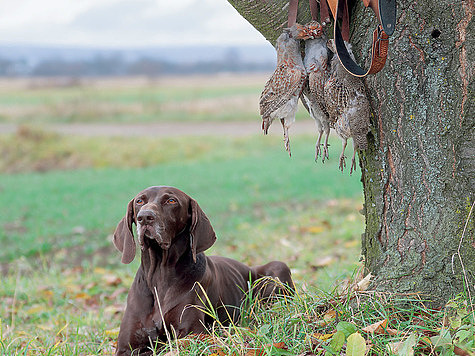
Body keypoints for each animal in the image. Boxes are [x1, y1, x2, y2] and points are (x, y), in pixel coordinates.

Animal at [114, 185, 296, 354]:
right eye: (139, 201)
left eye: (171, 201)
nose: (145, 217)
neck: (160, 274)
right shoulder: (126, 347)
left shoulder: (193, 334)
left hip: (278, 267)